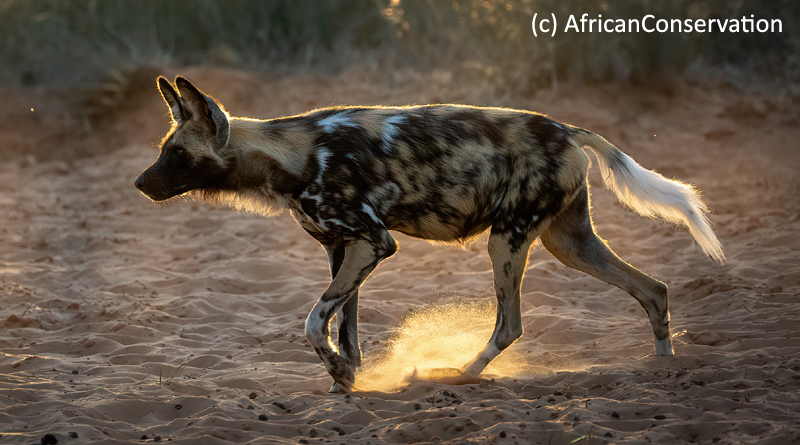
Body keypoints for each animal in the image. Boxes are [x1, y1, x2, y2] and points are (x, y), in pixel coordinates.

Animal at [136, 76, 724, 392]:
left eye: (177, 154)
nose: (139, 183)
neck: (294, 156)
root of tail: (567, 129)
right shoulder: (343, 251)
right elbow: (344, 331)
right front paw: (346, 380)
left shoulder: (375, 243)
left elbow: (311, 323)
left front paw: (343, 376)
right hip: (570, 244)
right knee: (653, 289)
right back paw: (664, 368)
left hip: (506, 241)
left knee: (510, 324)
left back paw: (460, 375)